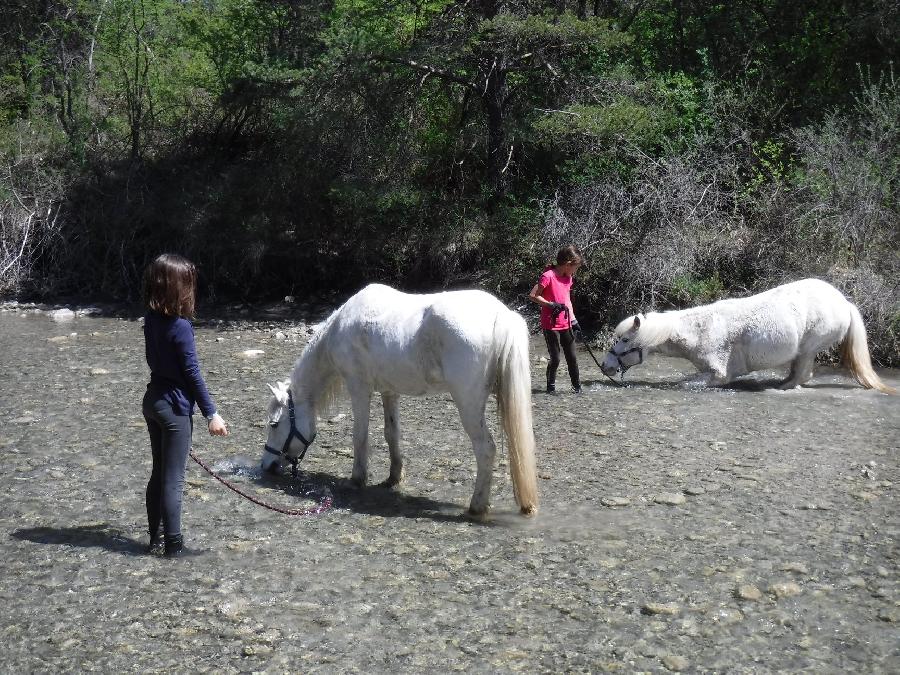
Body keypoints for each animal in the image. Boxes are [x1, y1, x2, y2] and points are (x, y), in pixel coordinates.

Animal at [260, 282, 540, 516]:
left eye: (274, 424)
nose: (267, 466)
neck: (341, 327)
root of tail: (501, 315)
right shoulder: (388, 391)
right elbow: (391, 433)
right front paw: (394, 477)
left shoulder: (359, 388)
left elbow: (360, 435)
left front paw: (357, 479)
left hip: (468, 404)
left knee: (485, 449)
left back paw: (477, 506)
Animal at [600, 278, 896, 394]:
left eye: (624, 340)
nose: (605, 366)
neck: (699, 330)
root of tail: (845, 303)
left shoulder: (719, 374)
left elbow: (684, 384)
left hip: (810, 347)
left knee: (803, 376)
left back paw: (780, 388)